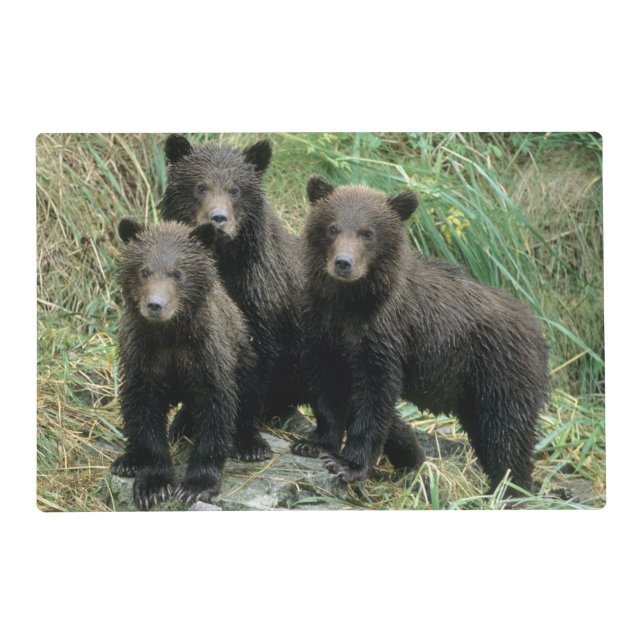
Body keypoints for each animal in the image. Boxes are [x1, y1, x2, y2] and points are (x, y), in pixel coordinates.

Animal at [111, 219, 261, 509]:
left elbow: (216, 410)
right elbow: (142, 409)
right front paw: (153, 485)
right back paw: (127, 459)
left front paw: (196, 486)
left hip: (243, 353)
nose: (155, 305)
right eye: (144, 270)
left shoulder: (206, 356)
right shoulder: (142, 357)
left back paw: (252, 446)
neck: (170, 334)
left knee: (248, 396)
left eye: (177, 273)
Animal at [291, 176, 550, 494]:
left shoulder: (385, 336)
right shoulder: (323, 329)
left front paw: (349, 465)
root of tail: (538, 331)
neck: (351, 303)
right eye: (332, 228)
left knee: (507, 435)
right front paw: (313, 443)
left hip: (502, 374)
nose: (343, 263)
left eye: (368, 233)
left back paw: (512, 490)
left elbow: (374, 399)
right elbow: (327, 386)